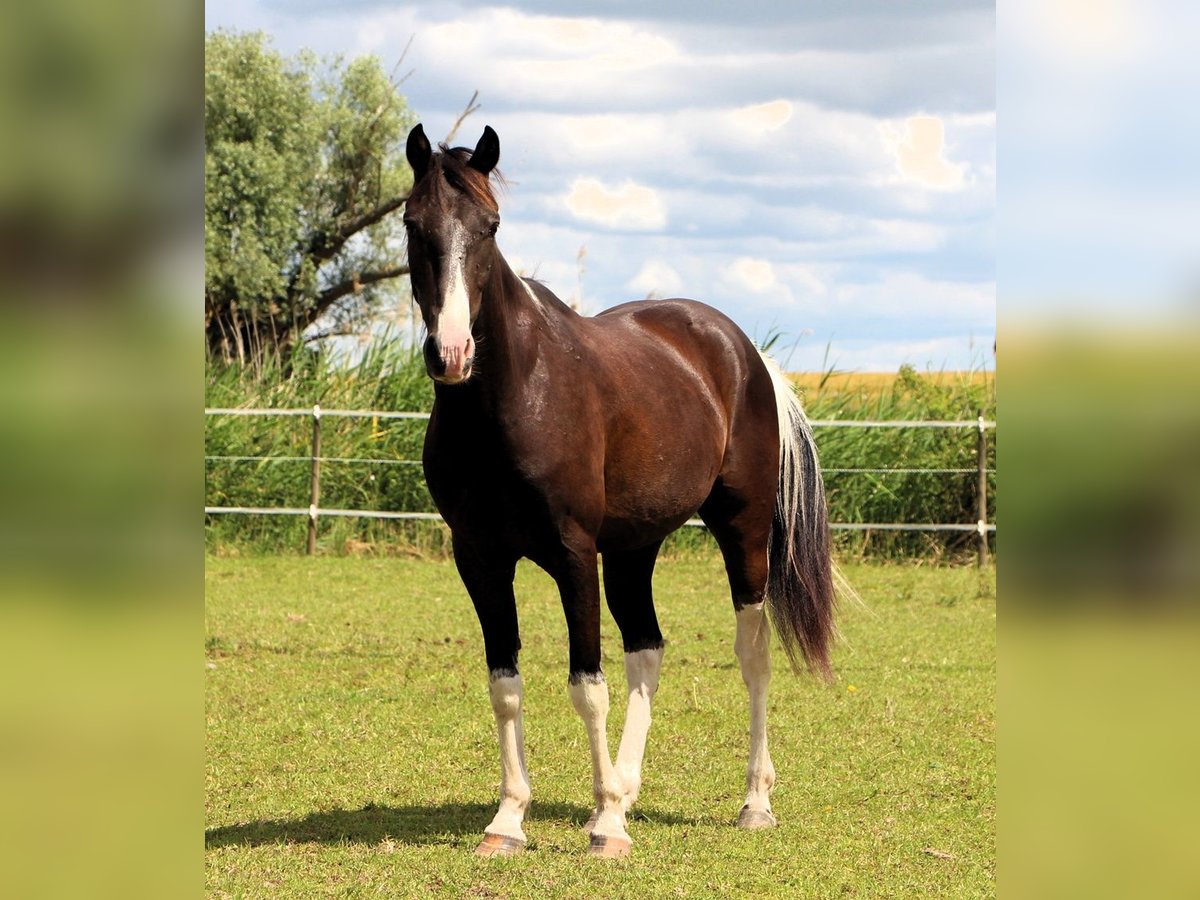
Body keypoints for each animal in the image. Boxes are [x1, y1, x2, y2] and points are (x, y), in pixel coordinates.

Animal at [403, 125, 835, 859]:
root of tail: (745, 353)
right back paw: (627, 792)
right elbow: (506, 685)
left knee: (752, 655)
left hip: (743, 533)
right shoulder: (480, 559)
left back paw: (751, 802)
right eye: (411, 224)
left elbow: (587, 687)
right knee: (647, 648)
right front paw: (509, 821)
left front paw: (605, 826)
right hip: (636, 548)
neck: (511, 397)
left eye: (491, 226)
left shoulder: (574, 555)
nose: (452, 353)